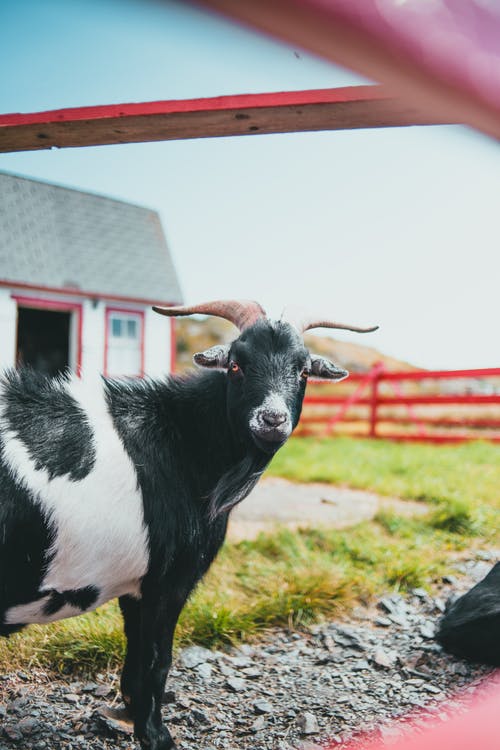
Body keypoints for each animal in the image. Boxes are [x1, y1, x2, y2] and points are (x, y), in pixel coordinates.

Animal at [0, 302, 376, 750]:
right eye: (236, 364)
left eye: (303, 370)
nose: (272, 419)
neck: (182, 441)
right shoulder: (169, 581)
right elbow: (157, 662)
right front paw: (156, 735)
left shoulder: (136, 586)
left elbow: (136, 660)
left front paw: (131, 716)